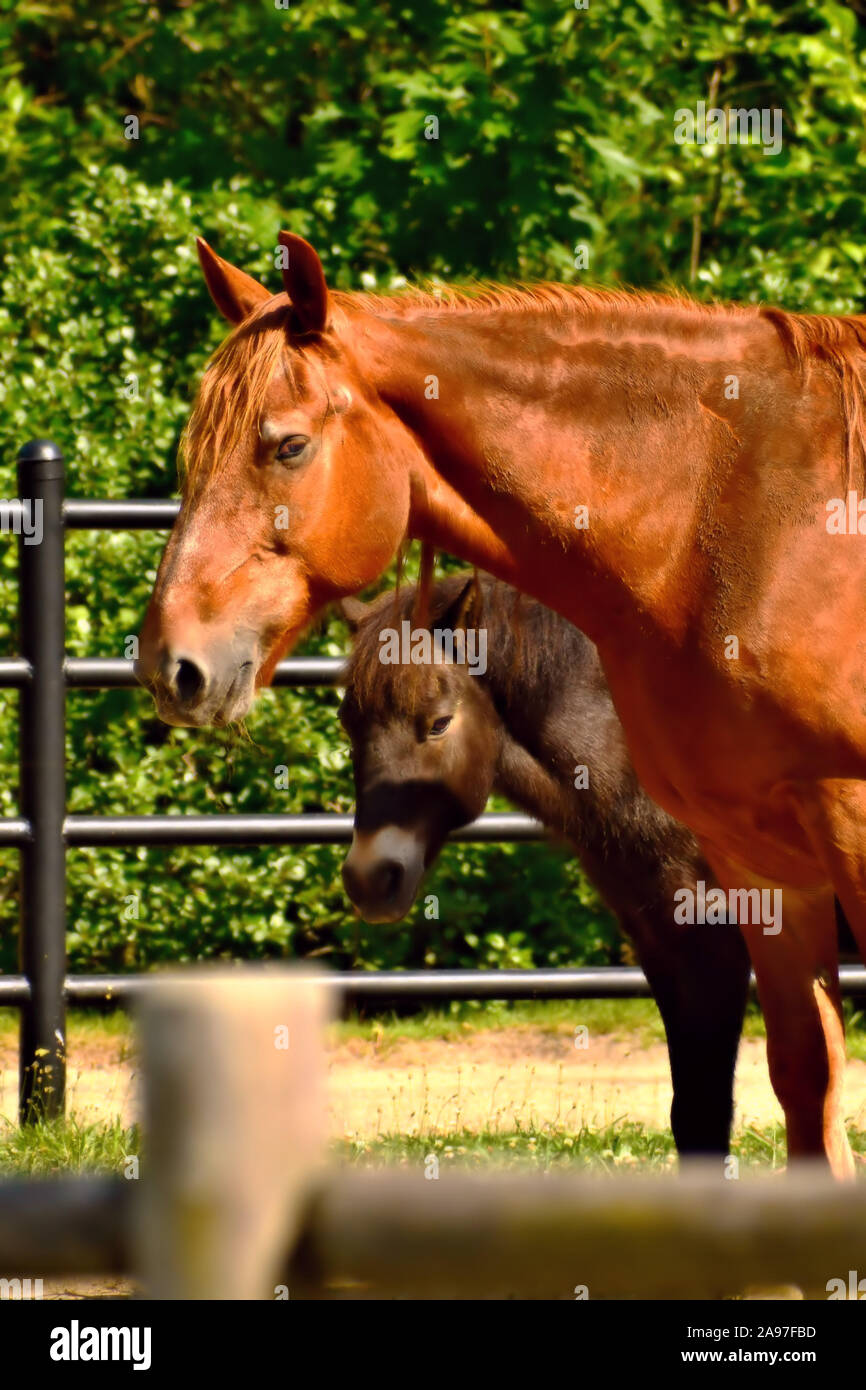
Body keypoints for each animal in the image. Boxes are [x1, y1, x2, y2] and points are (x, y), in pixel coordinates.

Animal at [338, 572, 751, 1158]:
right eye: (347, 725)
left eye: (439, 723)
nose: (369, 878)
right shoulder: (664, 943)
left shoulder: (712, 942)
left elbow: (707, 1116)